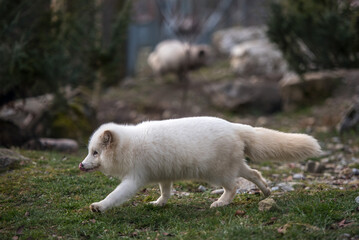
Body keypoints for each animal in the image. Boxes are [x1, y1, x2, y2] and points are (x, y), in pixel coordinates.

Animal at [79, 116, 320, 212]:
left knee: (234, 187)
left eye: (95, 152)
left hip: (217, 173)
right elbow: (166, 192)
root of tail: (234, 126)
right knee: (255, 173)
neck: (129, 146)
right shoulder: (163, 175)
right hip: (234, 165)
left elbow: (115, 195)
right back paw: (266, 192)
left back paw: (221, 203)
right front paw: (159, 203)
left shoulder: (134, 179)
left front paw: (99, 206)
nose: (81, 165)